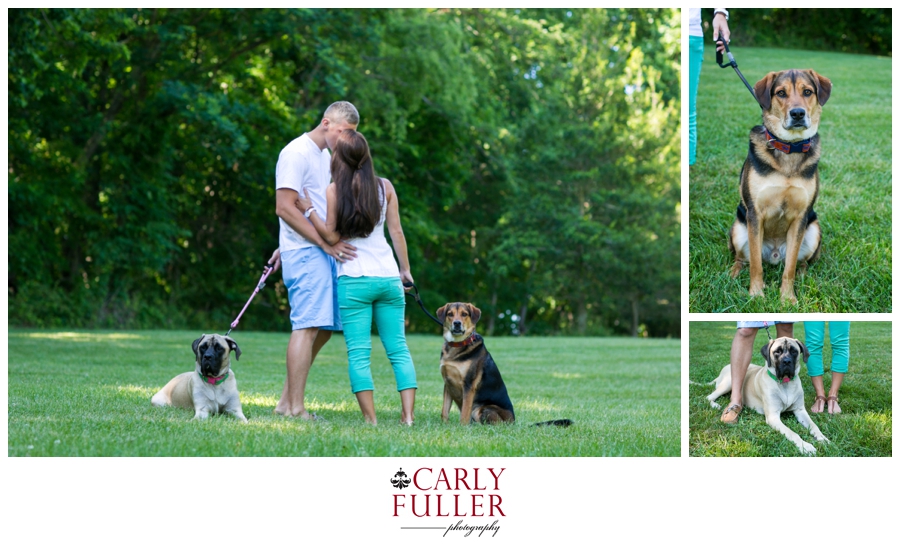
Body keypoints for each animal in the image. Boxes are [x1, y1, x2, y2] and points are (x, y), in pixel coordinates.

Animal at [434, 302, 568, 424]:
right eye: (450, 314)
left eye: (464, 314)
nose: (457, 323)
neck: (457, 345)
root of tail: (514, 423)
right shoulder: (448, 383)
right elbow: (444, 410)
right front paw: (444, 425)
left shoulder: (468, 384)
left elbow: (465, 412)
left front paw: (462, 427)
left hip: (482, 409)